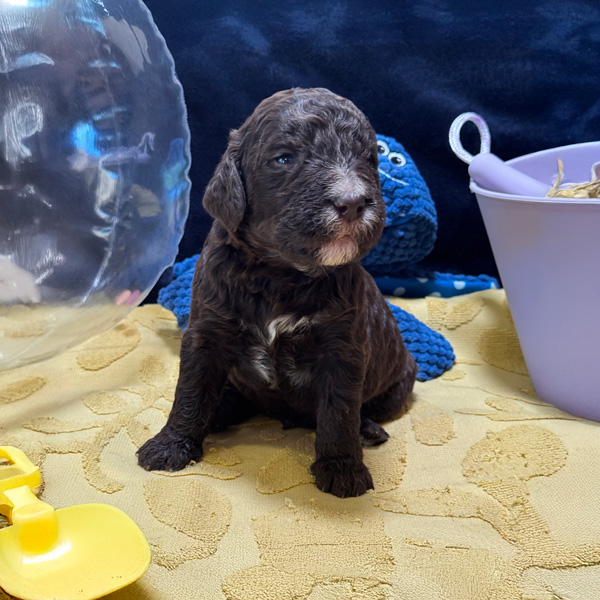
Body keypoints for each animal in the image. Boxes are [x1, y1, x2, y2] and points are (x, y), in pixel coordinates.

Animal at [137, 88, 417, 497]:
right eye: (284, 158)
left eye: (368, 159)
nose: (353, 202)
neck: (280, 273)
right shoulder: (205, 332)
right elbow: (190, 391)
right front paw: (171, 444)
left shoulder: (343, 348)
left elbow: (339, 410)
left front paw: (342, 467)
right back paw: (218, 412)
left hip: (400, 381)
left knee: (363, 411)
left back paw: (367, 430)